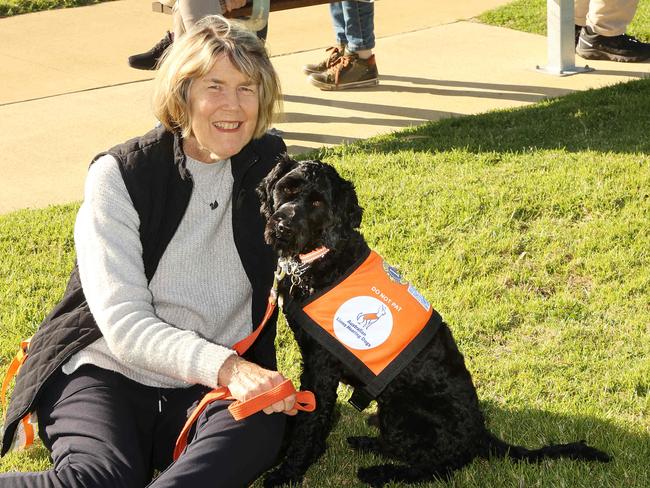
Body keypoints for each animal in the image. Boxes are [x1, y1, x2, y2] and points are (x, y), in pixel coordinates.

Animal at [254, 157, 608, 488]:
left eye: (317, 203)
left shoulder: (321, 368)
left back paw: (380, 471)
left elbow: (310, 422)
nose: (282, 226)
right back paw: (369, 443)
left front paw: (288, 471)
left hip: (401, 413)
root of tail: (479, 432)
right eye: (287, 189)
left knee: (438, 466)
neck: (323, 259)